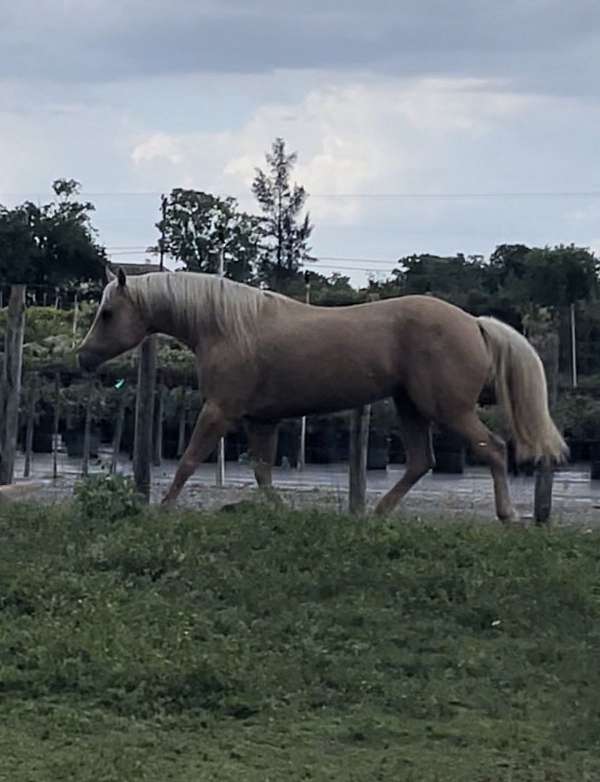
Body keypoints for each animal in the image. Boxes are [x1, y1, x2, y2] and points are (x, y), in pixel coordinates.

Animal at [78, 268, 567, 522]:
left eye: (108, 313)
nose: (83, 358)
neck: (229, 327)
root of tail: (474, 323)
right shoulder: (261, 420)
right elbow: (262, 473)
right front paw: (279, 512)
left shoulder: (219, 411)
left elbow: (189, 460)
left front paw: (162, 509)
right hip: (410, 408)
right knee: (420, 462)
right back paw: (373, 517)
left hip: (447, 410)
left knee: (494, 450)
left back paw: (508, 516)